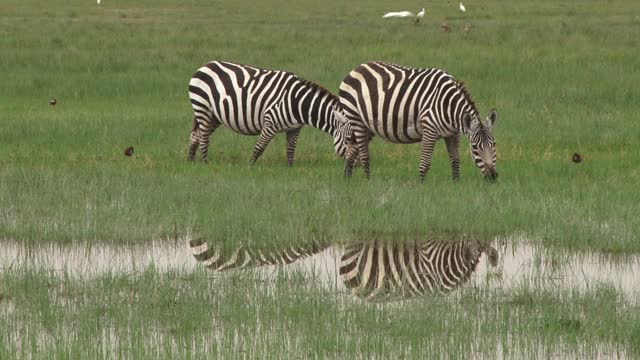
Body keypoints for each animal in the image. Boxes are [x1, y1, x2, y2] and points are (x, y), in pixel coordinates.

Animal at [188, 60, 352, 165]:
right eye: (349, 139)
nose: (355, 165)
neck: (298, 102)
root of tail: (205, 65)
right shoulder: (270, 122)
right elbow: (259, 148)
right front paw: (250, 167)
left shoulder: (295, 129)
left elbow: (290, 151)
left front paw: (289, 169)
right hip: (203, 107)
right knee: (203, 138)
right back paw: (205, 163)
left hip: (214, 116)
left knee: (196, 135)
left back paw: (190, 162)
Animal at [340, 60, 500, 183]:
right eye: (474, 147)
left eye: (494, 144)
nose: (493, 177)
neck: (448, 106)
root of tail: (358, 67)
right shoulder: (429, 129)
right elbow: (425, 163)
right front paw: (421, 186)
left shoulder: (453, 134)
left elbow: (455, 160)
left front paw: (456, 184)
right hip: (356, 118)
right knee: (364, 155)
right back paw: (368, 182)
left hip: (368, 125)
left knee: (351, 150)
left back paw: (347, 180)